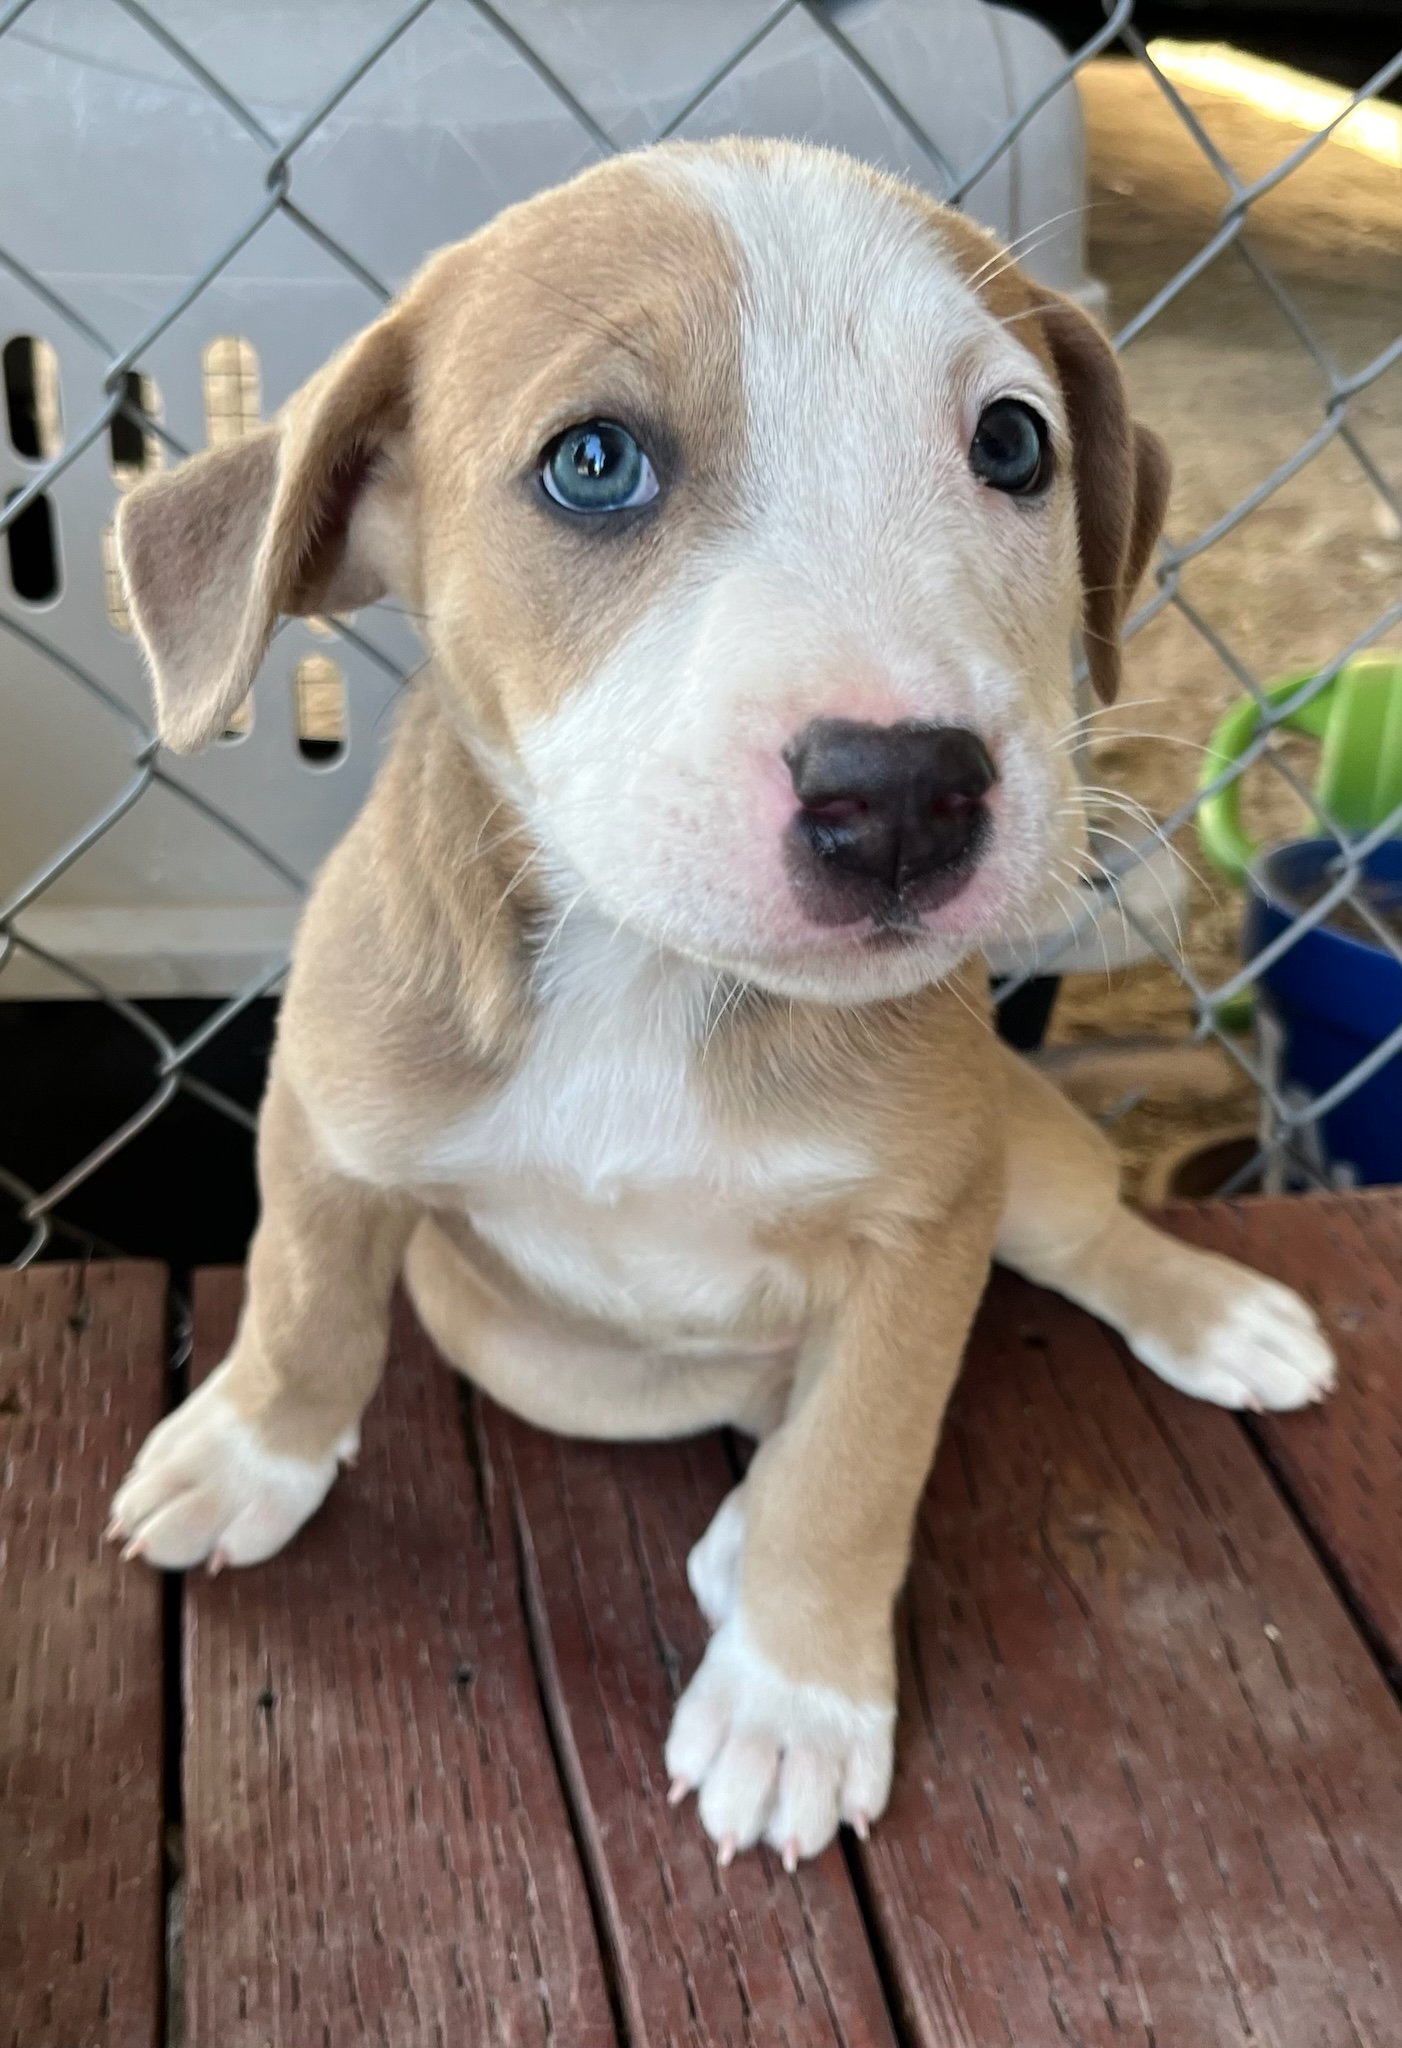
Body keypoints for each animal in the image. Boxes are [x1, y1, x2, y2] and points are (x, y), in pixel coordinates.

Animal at [103, 144, 1326, 1875]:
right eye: (592, 462)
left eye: (1012, 443)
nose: (902, 794)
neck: (646, 972)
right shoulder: (327, 1130)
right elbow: (299, 1305)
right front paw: (245, 1455)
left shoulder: (924, 1232)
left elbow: (858, 1470)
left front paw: (795, 1703)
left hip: (1014, 1162)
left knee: (1060, 1255)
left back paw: (1214, 1319)